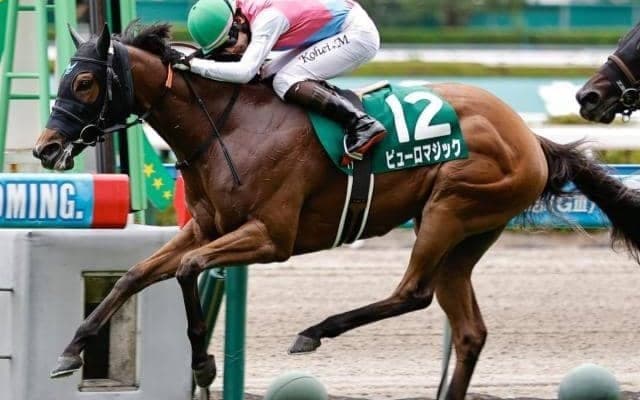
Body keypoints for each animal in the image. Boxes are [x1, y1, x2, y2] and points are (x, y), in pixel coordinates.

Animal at [33, 22, 640, 400]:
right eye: (62, 77)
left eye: (83, 81)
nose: (44, 148)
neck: (227, 125)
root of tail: (530, 135)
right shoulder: (205, 226)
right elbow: (134, 275)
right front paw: (70, 350)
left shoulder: (270, 237)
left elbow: (186, 270)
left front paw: (204, 364)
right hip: (466, 237)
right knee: (469, 332)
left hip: (450, 209)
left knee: (412, 293)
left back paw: (314, 330)